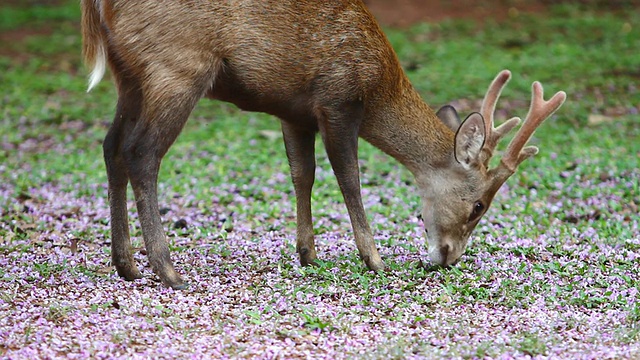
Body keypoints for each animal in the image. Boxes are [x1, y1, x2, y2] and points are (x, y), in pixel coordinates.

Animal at [80, 0, 564, 288]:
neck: (378, 87)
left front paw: (308, 254)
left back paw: (125, 264)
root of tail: (98, 5)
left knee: (110, 146)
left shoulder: (294, 112)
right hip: (177, 65)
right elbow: (349, 178)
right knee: (142, 153)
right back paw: (167, 269)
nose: (448, 258)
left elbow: (303, 175)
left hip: (129, 75)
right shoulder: (338, 101)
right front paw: (375, 259)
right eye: (479, 205)